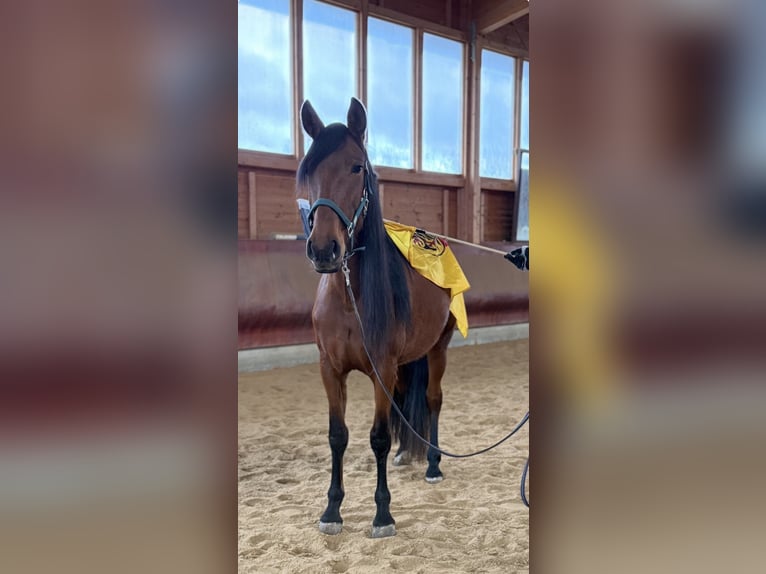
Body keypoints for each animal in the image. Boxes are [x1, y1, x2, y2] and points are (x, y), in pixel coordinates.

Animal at [297, 97, 457, 538]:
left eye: (356, 167)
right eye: (308, 169)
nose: (324, 249)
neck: (349, 297)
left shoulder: (381, 368)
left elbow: (379, 437)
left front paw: (383, 515)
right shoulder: (330, 369)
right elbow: (338, 436)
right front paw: (332, 510)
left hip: (438, 349)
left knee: (433, 400)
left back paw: (433, 465)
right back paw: (407, 454)